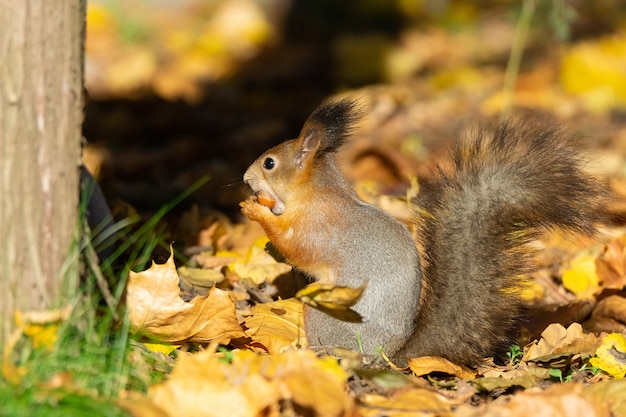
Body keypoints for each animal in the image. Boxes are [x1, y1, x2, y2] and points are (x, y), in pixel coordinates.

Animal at [239, 99, 604, 366]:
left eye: (269, 163)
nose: (245, 178)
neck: (315, 194)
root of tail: (390, 357)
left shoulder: (318, 227)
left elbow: (295, 246)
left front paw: (254, 210)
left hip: (326, 314)